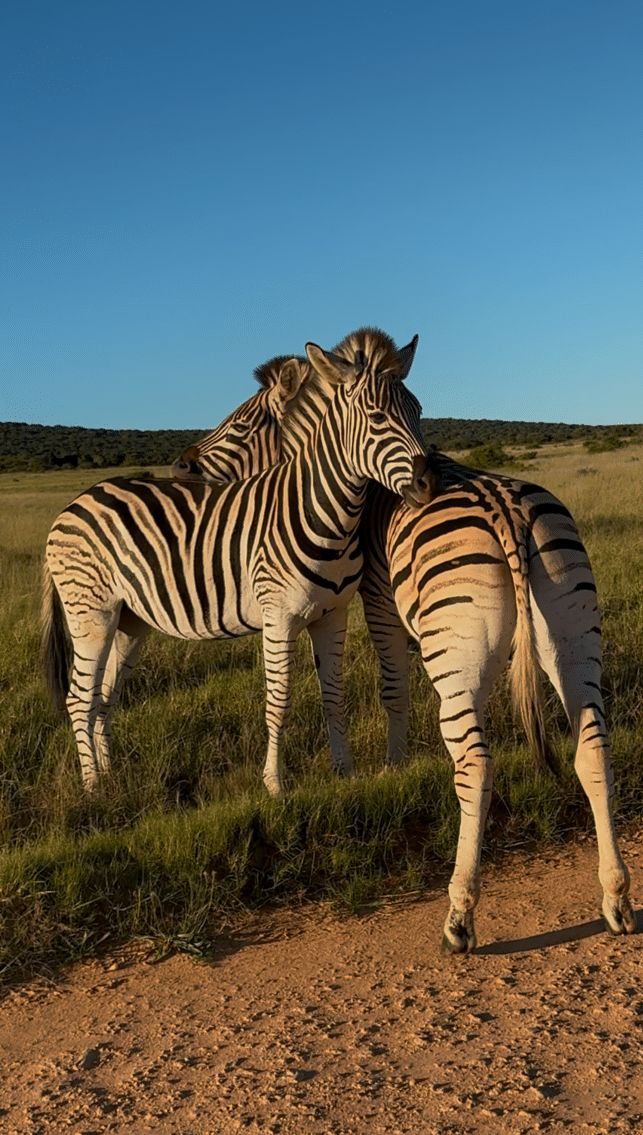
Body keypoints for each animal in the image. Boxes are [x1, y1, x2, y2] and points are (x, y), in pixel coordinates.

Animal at [42, 329, 438, 797]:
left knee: (104, 697)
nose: (429, 484)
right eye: (376, 417)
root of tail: (73, 504)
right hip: (91, 614)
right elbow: (279, 700)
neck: (325, 513)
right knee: (79, 699)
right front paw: (275, 785)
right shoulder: (278, 616)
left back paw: (111, 776)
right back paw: (93, 790)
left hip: (129, 620)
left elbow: (334, 694)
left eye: (418, 412)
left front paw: (344, 771)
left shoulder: (333, 614)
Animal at [174, 356, 635, 951]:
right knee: (592, 747)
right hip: (573, 640)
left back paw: (460, 916)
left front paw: (392, 768)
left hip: (456, 666)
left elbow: (392, 686)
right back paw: (615, 898)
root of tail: (505, 506)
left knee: (475, 765)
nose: (182, 466)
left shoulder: (377, 600)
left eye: (242, 424)